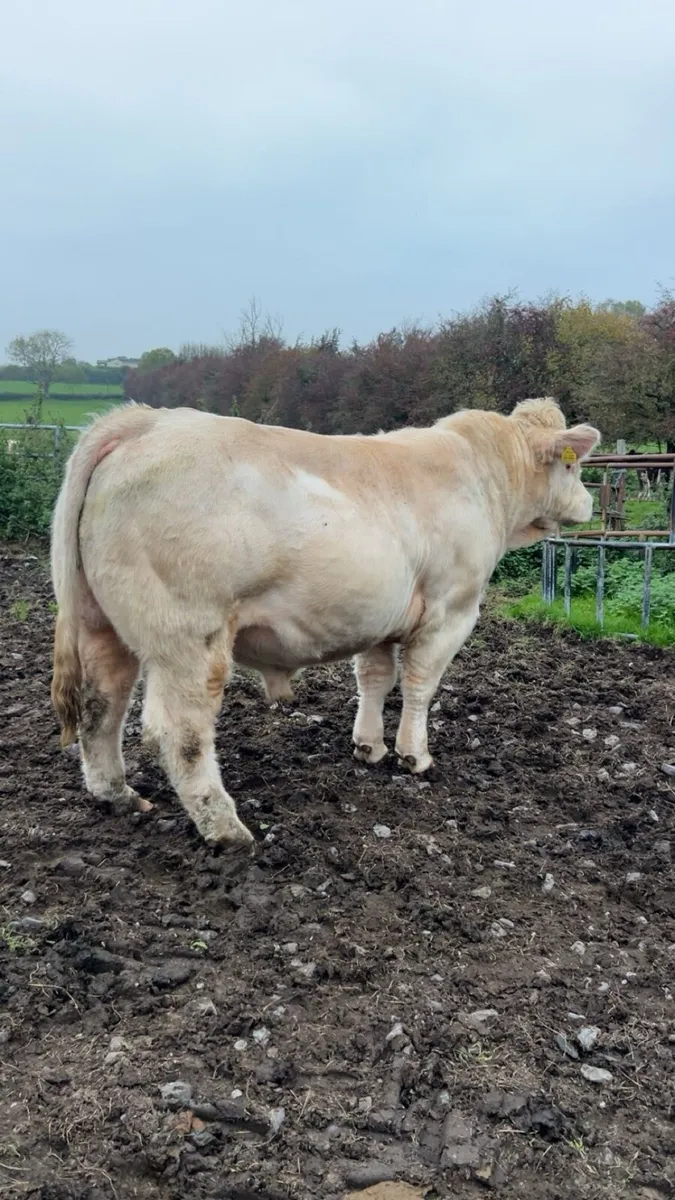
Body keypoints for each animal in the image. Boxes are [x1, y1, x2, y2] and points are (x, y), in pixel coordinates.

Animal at [50, 397, 599, 848]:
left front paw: (369, 746)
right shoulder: (452, 610)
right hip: (188, 635)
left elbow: (375, 679)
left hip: (103, 625)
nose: (591, 503)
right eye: (573, 467)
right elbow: (420, 685)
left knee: (101, 707)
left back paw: (118, 795)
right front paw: (414, 756)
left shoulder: (378, 615)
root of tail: (145, 422)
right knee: (179, 730)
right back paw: (226, 829)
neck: (485, 476)